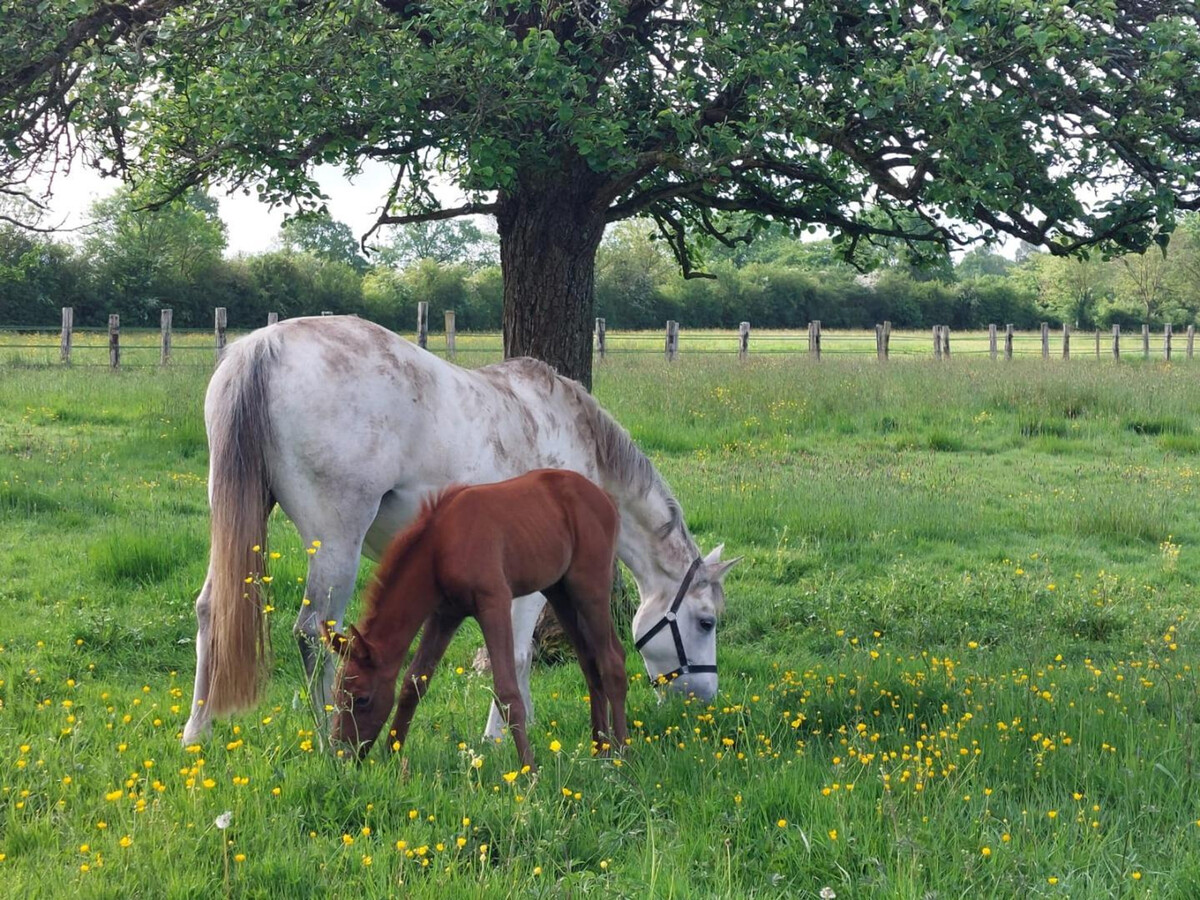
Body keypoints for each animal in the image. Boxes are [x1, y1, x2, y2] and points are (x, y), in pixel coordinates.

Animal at [323, 469, 627, 767]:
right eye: (336, 695)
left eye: (362, 699)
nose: (342, 755)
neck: (441, 544)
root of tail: (605, 498)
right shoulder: (445, 614)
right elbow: (413, 682)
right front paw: (391, 756)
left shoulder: (494, 603)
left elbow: (507, 691)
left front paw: (529, 769)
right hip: (560, 592)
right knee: (590, 662)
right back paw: (600, 750)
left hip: (589, 587)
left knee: (612, 659)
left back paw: (622, 752)